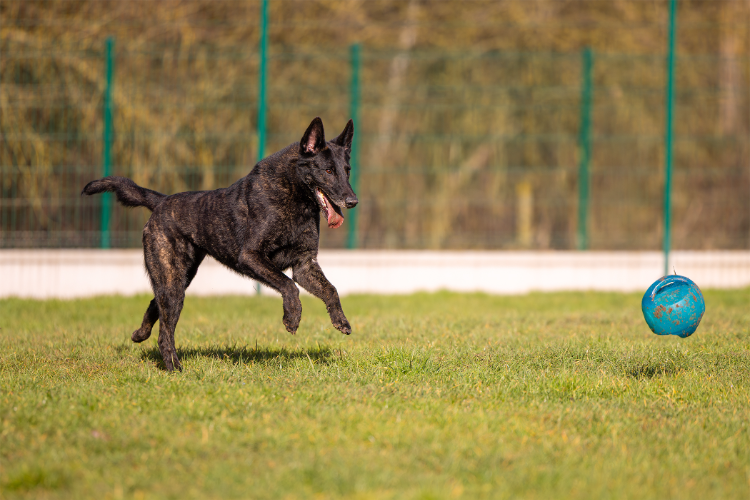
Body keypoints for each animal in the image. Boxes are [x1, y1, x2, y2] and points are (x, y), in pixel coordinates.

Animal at [82, 117, 358, 371]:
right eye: (328, 171)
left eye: (347, 170)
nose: (352, 201)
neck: (294, 195)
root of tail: (161, 201)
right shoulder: (251, 256)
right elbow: (288, 285)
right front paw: (292, 317)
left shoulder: (304, 264)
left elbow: (331, 289)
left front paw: (341, 320)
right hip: (173, 284)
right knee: (165, 331)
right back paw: (173, 367)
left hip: (179, 279)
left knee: (154, 305)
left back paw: (140, 334)